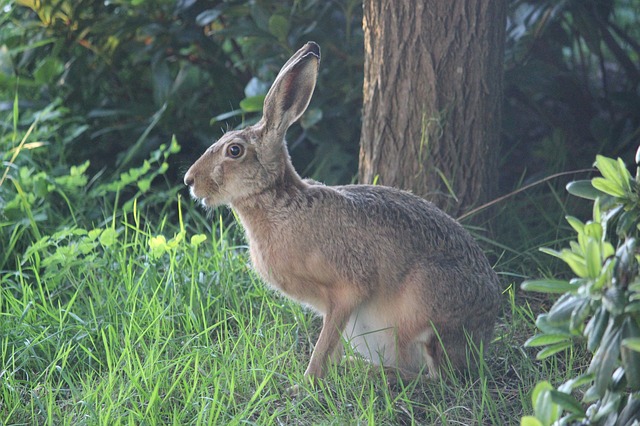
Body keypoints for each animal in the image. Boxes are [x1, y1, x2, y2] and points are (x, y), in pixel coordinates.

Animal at [184, 41, 501, 381]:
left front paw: (307, 381)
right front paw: (327, 373)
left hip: (424, 304)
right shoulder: (336, 309)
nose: (190, 181)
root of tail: (485, 331)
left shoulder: (347, 290)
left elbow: (324, 343)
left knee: (431, 375)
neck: (281, 202)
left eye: (234, 150)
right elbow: (331, 342)